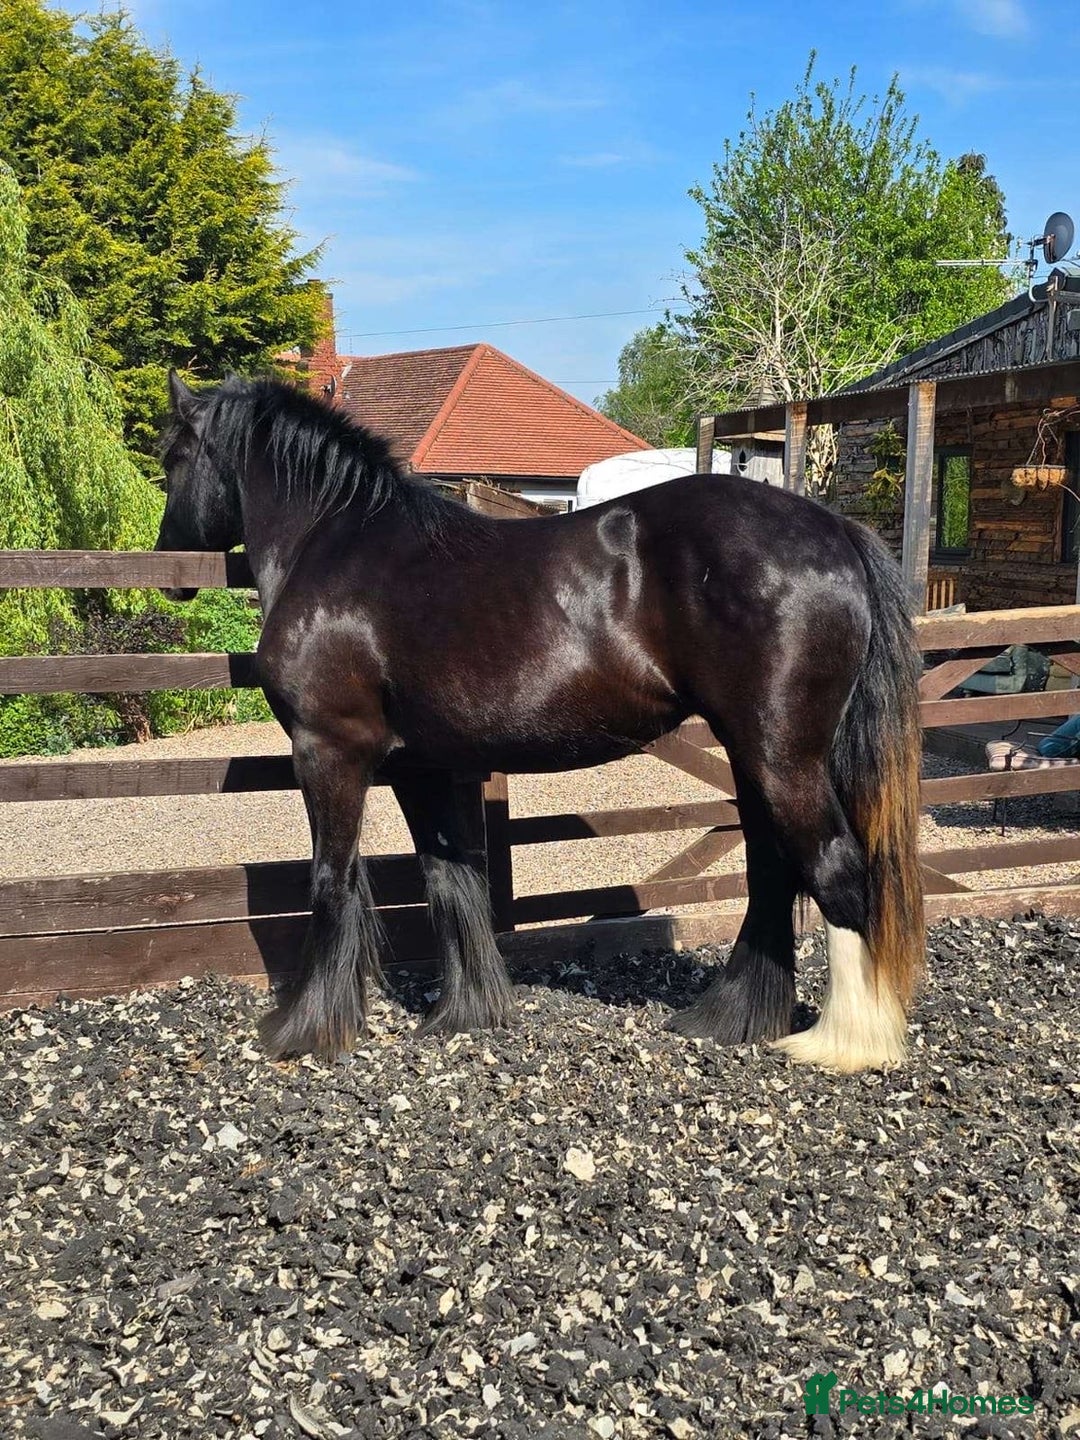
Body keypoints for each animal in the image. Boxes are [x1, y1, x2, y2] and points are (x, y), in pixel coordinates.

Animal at [156, 371, 924, 1074]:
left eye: (173, 456)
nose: (171, 571)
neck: (336, 546)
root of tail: (835, 530)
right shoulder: (421, 765)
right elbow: (452, 880)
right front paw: (466, 1012)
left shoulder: (328, 751)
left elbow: (330, 879)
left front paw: (304, 1029)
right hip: (752, 751)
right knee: (772, 865)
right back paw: (730, 1016)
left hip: (780, 754)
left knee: (835, 869)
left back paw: (846, 1042)